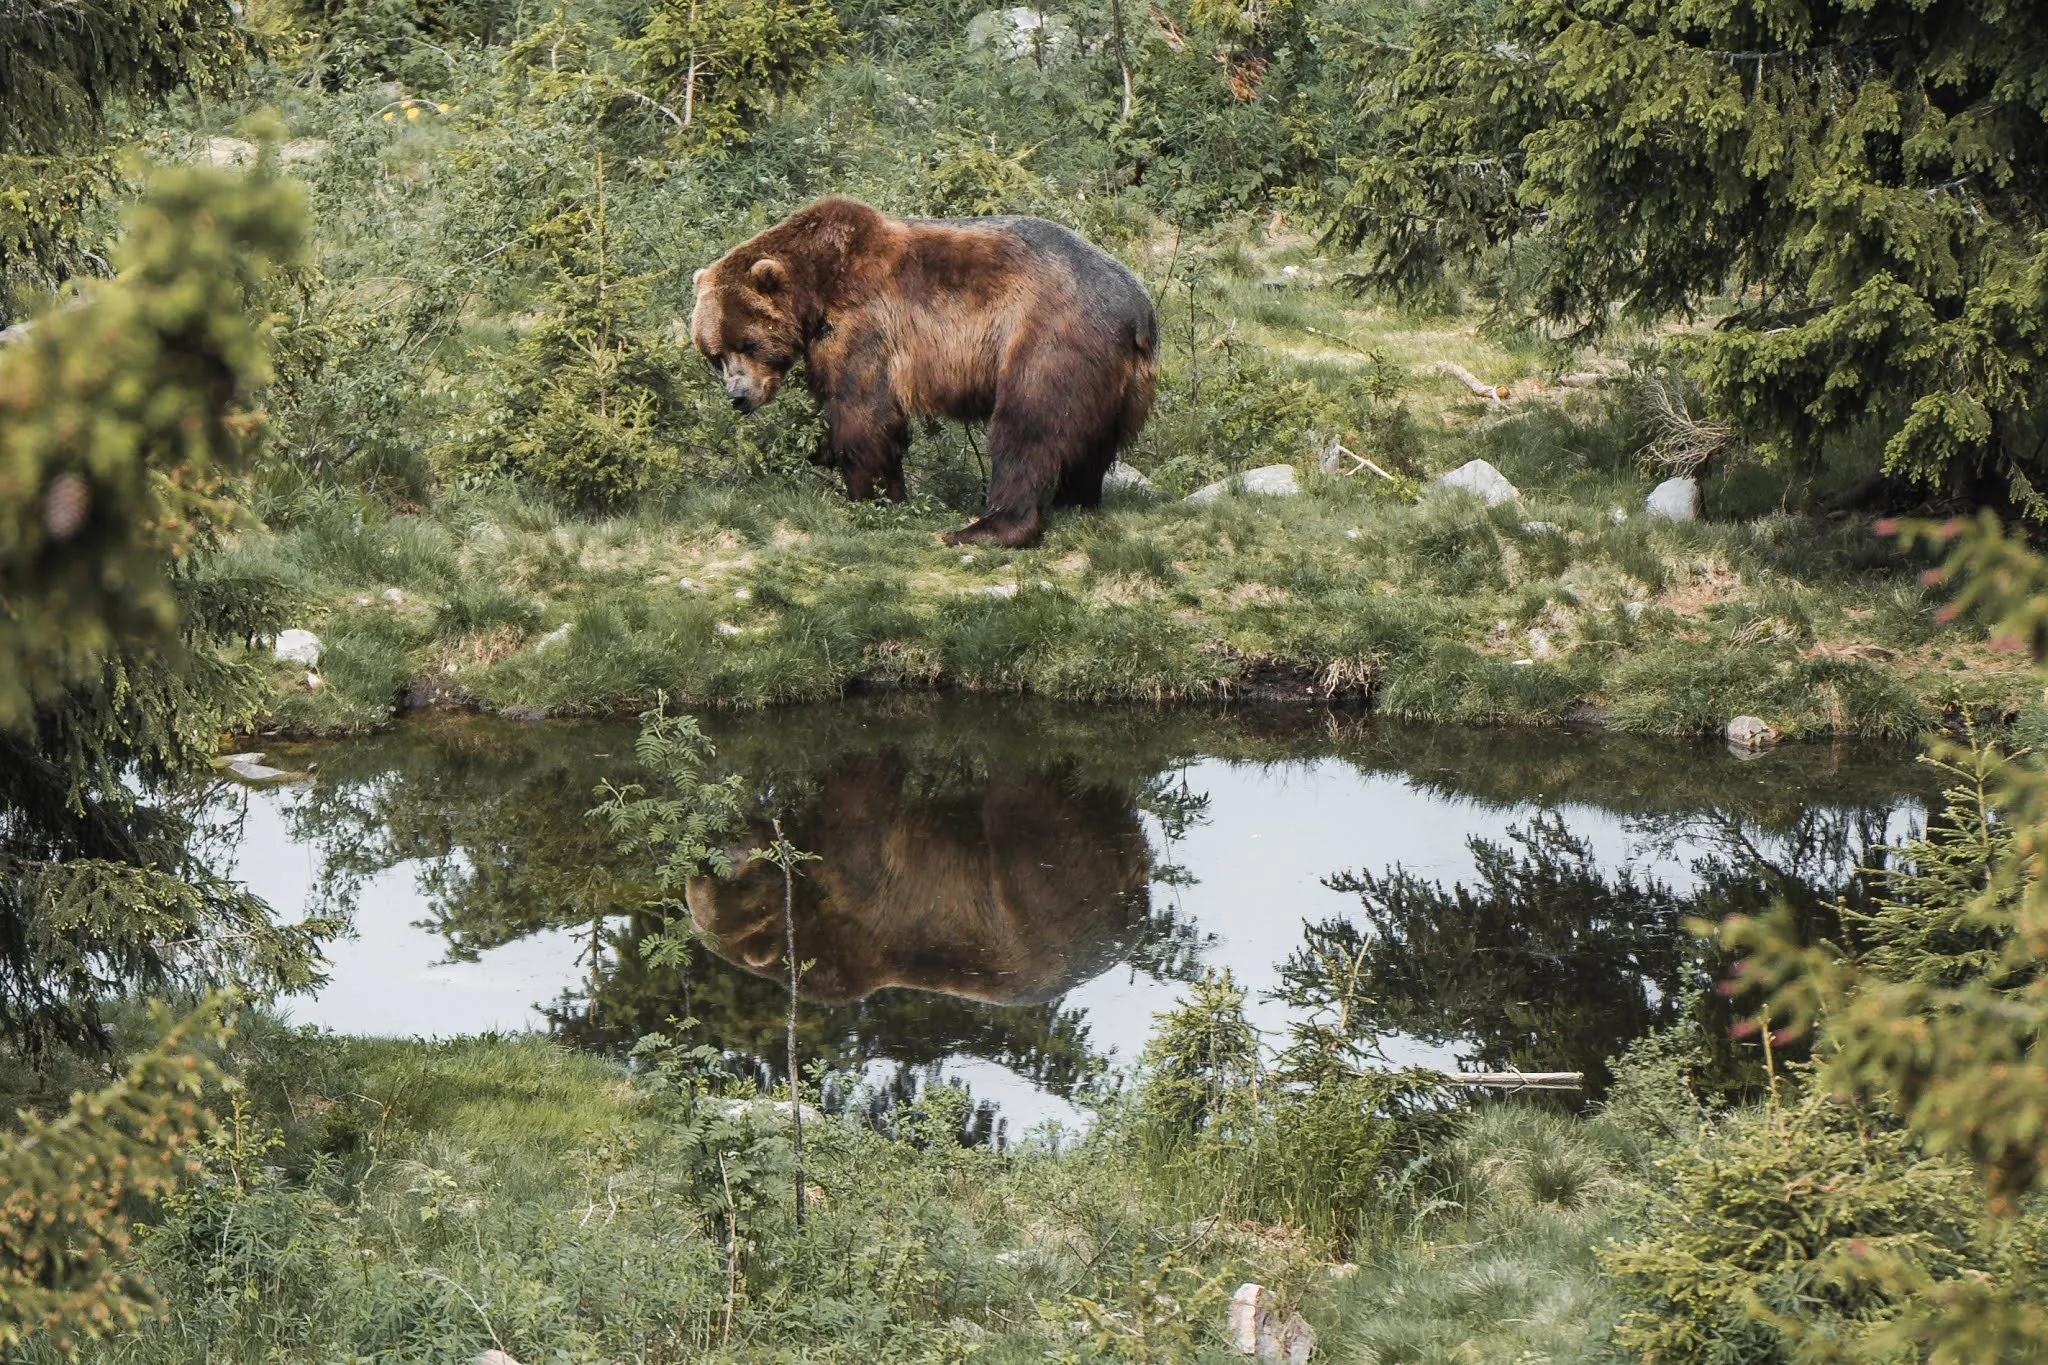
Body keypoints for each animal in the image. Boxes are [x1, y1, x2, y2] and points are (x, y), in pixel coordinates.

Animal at [683, 751, 1152, 1005]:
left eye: (730, 882)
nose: (712, 842)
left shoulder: (859, 907)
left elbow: (857, 806)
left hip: (1036, 891)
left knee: (1022, 801)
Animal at [691, 196, 1157, 548]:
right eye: (714, 353)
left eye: (747, 344)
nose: (738, 396)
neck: (817, 286)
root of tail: (1138, 309)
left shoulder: (863, 323)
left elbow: (864, 411)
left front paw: (872, 495)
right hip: (1115, 381)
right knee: (1091, 440)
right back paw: (1076, 500)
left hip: (1049, 338)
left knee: (1027, 427)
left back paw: (984, 528)